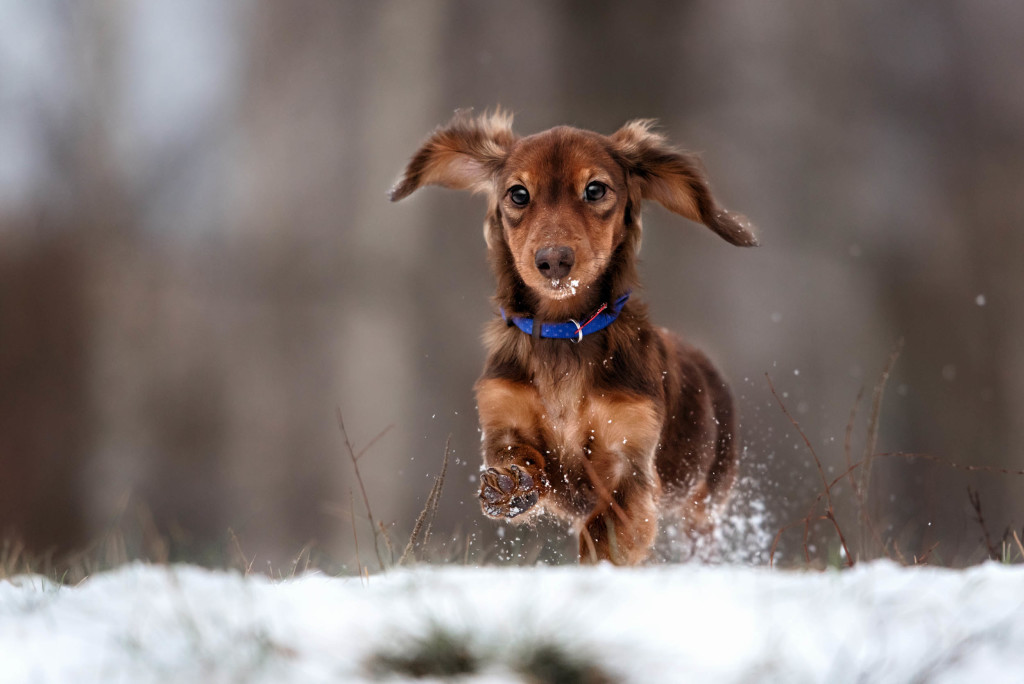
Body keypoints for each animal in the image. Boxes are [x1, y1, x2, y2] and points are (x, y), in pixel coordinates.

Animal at [393, 111, 761, 561]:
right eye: (518, 194)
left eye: (595, 189)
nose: (553, 261)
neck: (564, 335)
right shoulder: (504, 417)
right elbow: (519, 456)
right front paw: (509, 484)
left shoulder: (629, 459)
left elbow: (604, 532)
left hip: (705, 499)